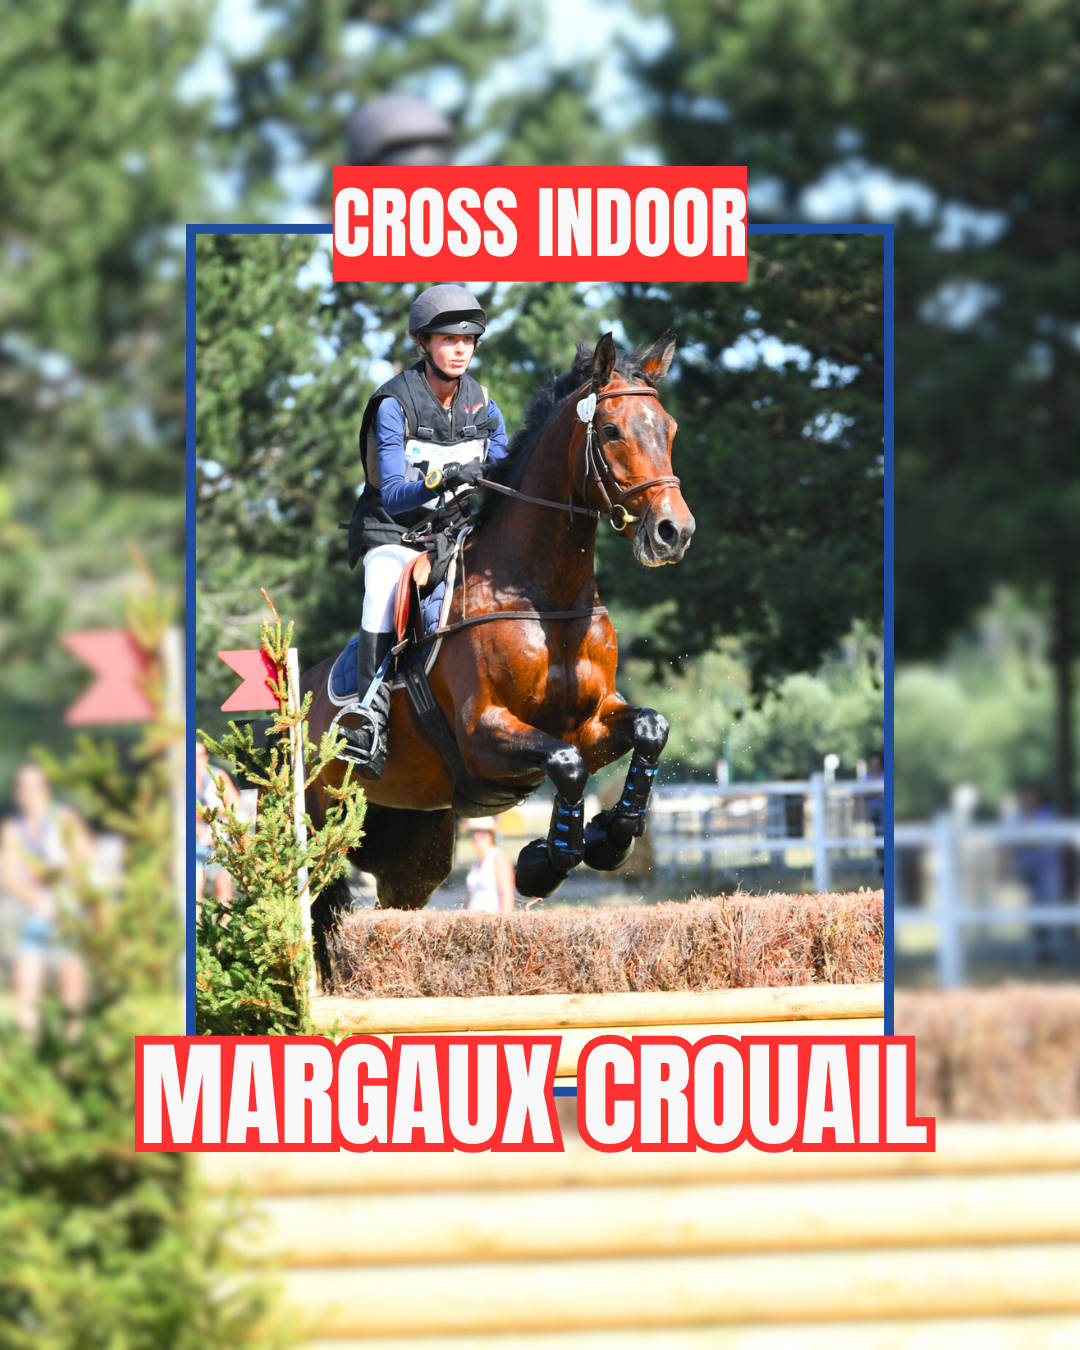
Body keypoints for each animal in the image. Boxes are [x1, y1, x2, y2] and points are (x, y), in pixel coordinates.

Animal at [302, 330, 695, 984]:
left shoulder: (592, 721)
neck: (544, 597)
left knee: (391, 899)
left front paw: (610, 837)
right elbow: (566, 764)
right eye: (612, 430)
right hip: (315, 822)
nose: (674, 532)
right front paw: (545, 862)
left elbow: (648, 730)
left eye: (668, 429)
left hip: (412, 844)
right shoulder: (483, 735)